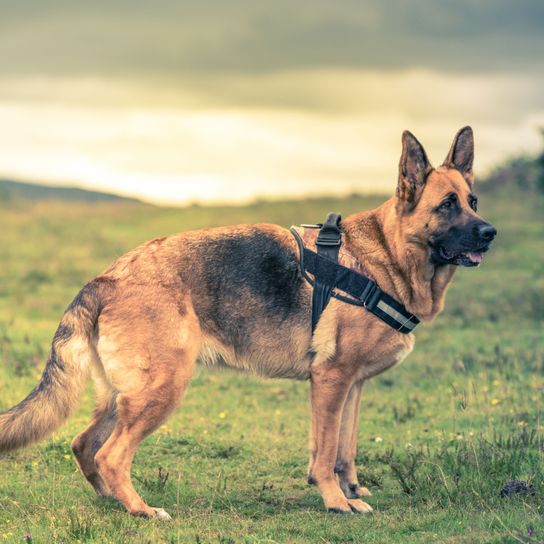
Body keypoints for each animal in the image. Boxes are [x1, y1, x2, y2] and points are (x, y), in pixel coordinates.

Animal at [0, 125, 496, 516]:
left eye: (472, 200)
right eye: (447, 205)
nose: (491, 233)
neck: (387, 256)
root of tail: (108, 276)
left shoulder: (352, 386)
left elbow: (345, 449)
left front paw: (351, 491)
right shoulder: (331, 380)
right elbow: (325, 453)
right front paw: (337, 502)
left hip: (122, 395)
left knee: (85, 444)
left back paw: (113, 501)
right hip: (162, 387)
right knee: (111, 455)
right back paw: (141, 510)